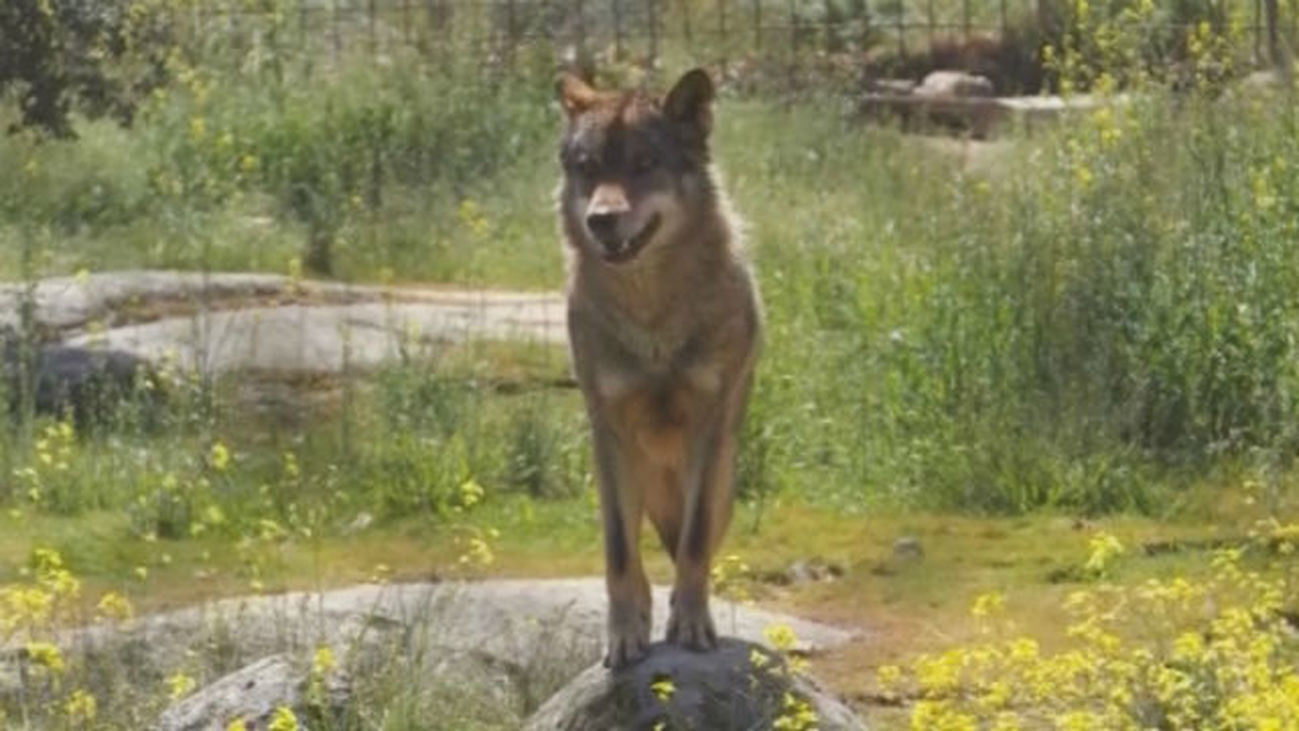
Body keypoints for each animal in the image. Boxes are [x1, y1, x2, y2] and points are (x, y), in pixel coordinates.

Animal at [554, 68, 762, 669]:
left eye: (645, 163)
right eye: (588, 167)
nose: (601, 219)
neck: (651, 319)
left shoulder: (708, 433)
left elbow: (693, 545)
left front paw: (691, 625)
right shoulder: (608, 434)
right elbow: (620, 552)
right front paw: (625, 635)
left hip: (720, 476)